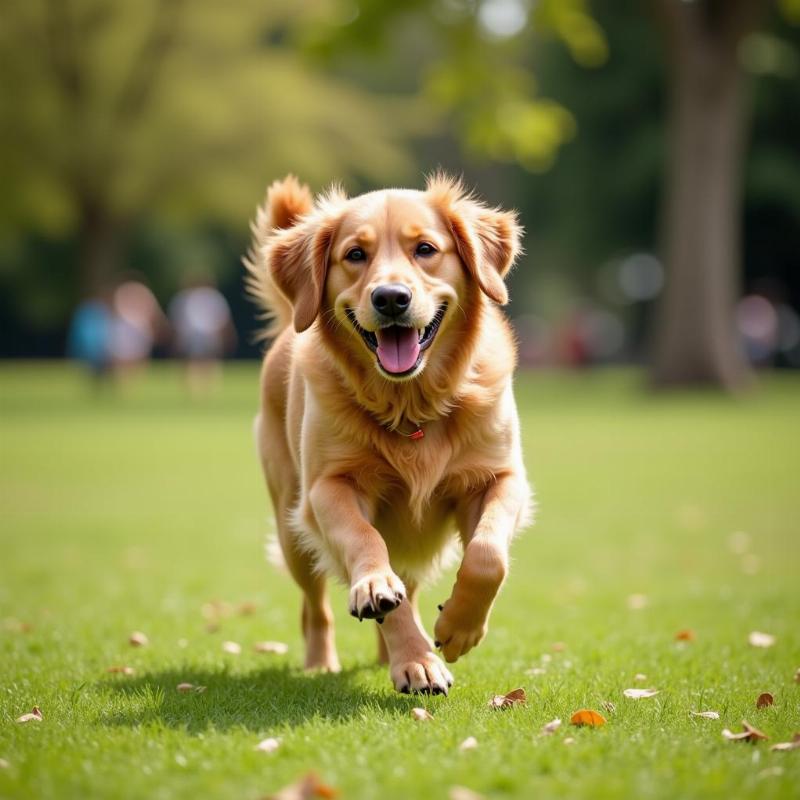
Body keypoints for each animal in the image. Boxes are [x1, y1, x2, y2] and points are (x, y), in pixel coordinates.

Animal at [244, 175, 532, 692]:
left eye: (426, 249)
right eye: (355, 255)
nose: (391, 298)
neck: (409, 404)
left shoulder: (499, 477)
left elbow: (487, 555)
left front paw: (458, 628)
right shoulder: (329, 488)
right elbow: (366, 545)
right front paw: (411, 651)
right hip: (293, 526)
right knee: (315, 608)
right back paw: (327, 661)